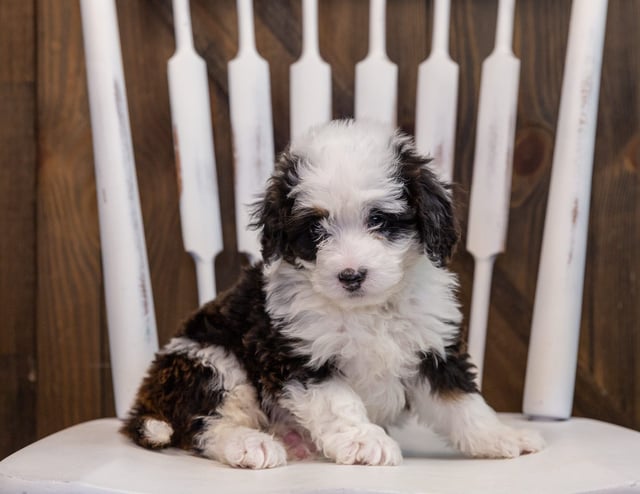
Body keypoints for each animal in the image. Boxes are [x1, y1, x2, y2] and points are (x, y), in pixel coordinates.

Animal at [124, 118, 544, 466]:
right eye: (315, 230)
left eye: (379, 220)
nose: (351, 275)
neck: (367, 309)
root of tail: (146, 404)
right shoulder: (296, 353)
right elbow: (337, 403)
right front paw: (364, 441)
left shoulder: (435, 349)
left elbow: (462, 401)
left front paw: (501, 436)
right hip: (209, 359)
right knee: (205, 424)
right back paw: (250, 444)